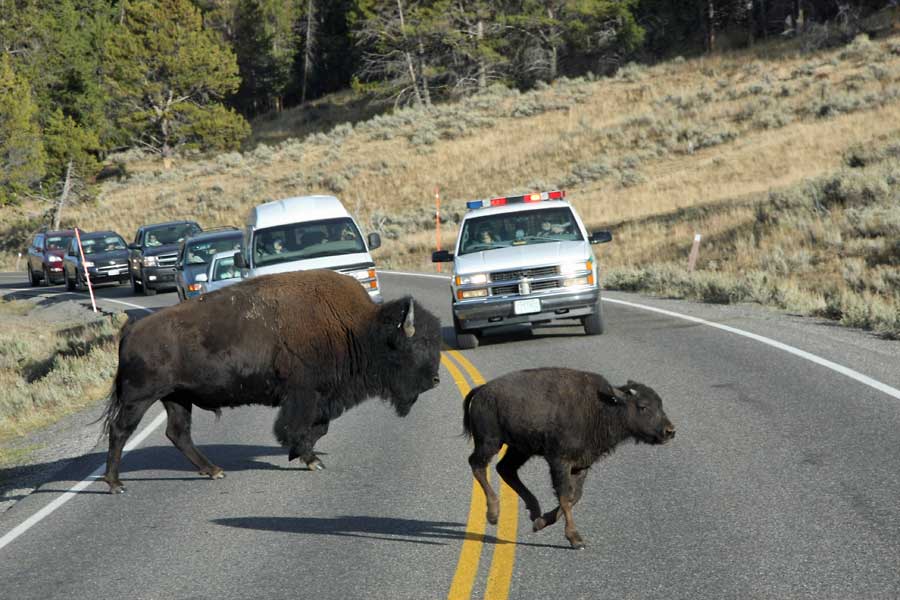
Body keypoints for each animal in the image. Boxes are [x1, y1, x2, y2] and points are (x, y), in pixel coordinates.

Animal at [101, 270, 442, 494]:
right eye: (418, 344)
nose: (436, 379)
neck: (357, 328)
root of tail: (131, 329)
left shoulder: (322, 398)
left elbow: (320, 427)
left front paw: (302, 455)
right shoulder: (304, 395)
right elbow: (297, 427)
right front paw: (307, 458)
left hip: (176, 397)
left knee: (178, 433)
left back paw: (214, 471)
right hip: (139, 398)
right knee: (121, 431)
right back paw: (115, 484)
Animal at [464, 366, 676, 548]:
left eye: (660, 404)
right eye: (643, 406)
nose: (670, 431)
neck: (601, 406)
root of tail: (482, 390)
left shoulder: (581, 465)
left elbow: (574, 496)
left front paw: (541, 523)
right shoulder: (560, 463)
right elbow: (565, 497)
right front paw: (575, 539)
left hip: (520, 450)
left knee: (505, 469)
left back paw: (534, 511)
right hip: (490, 443)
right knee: (478, 465)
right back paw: (493, 514)